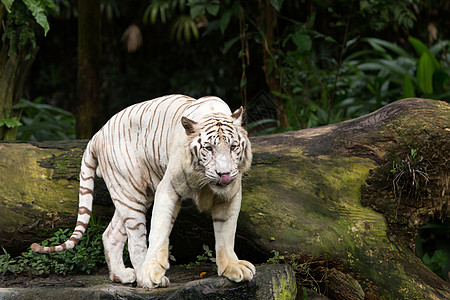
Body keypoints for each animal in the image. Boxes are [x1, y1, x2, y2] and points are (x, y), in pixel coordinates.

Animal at [32, 94, 253, 288]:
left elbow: (226, 233)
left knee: (110, 234)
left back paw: (121, 275)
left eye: (233, 147)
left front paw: (232, 267)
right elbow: (159, 231)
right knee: (136, 242)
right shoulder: (168, 189)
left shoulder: (230, 195)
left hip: (131, 195)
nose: (224, 174)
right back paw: (143, 277)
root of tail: (97, 134)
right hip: (131, 193)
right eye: (208, 148)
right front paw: (153, 271)